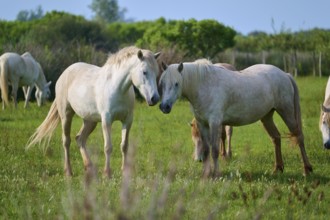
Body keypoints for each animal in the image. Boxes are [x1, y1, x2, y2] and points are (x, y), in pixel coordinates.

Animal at [26, 46, 160, 177]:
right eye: (144, 72)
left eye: (156, 72)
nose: (155, 98)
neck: (117, 88)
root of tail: (65, 73)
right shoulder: (107, 120)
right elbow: (108, 147)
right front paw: (107, 174)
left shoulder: (127, 120)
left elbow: (124, 146)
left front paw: (124, 172)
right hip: (66, 116)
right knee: (66, 141)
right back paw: (68, 172)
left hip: (90, 121)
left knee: (80, 139)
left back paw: (89, 168)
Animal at [159, 61, 314, 177]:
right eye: (162, 84)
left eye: (177, 83)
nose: (164, 106)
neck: (204, 85)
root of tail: (285, 74)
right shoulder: (202, 123)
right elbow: (207, 150)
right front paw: (206, 174)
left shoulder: (215, 122)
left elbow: (215, 150)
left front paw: (216, 174)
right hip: (267, 117)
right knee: (276, 138)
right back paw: (278, 169)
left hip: (286, 111)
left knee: (299, 136)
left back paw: (307, 169)